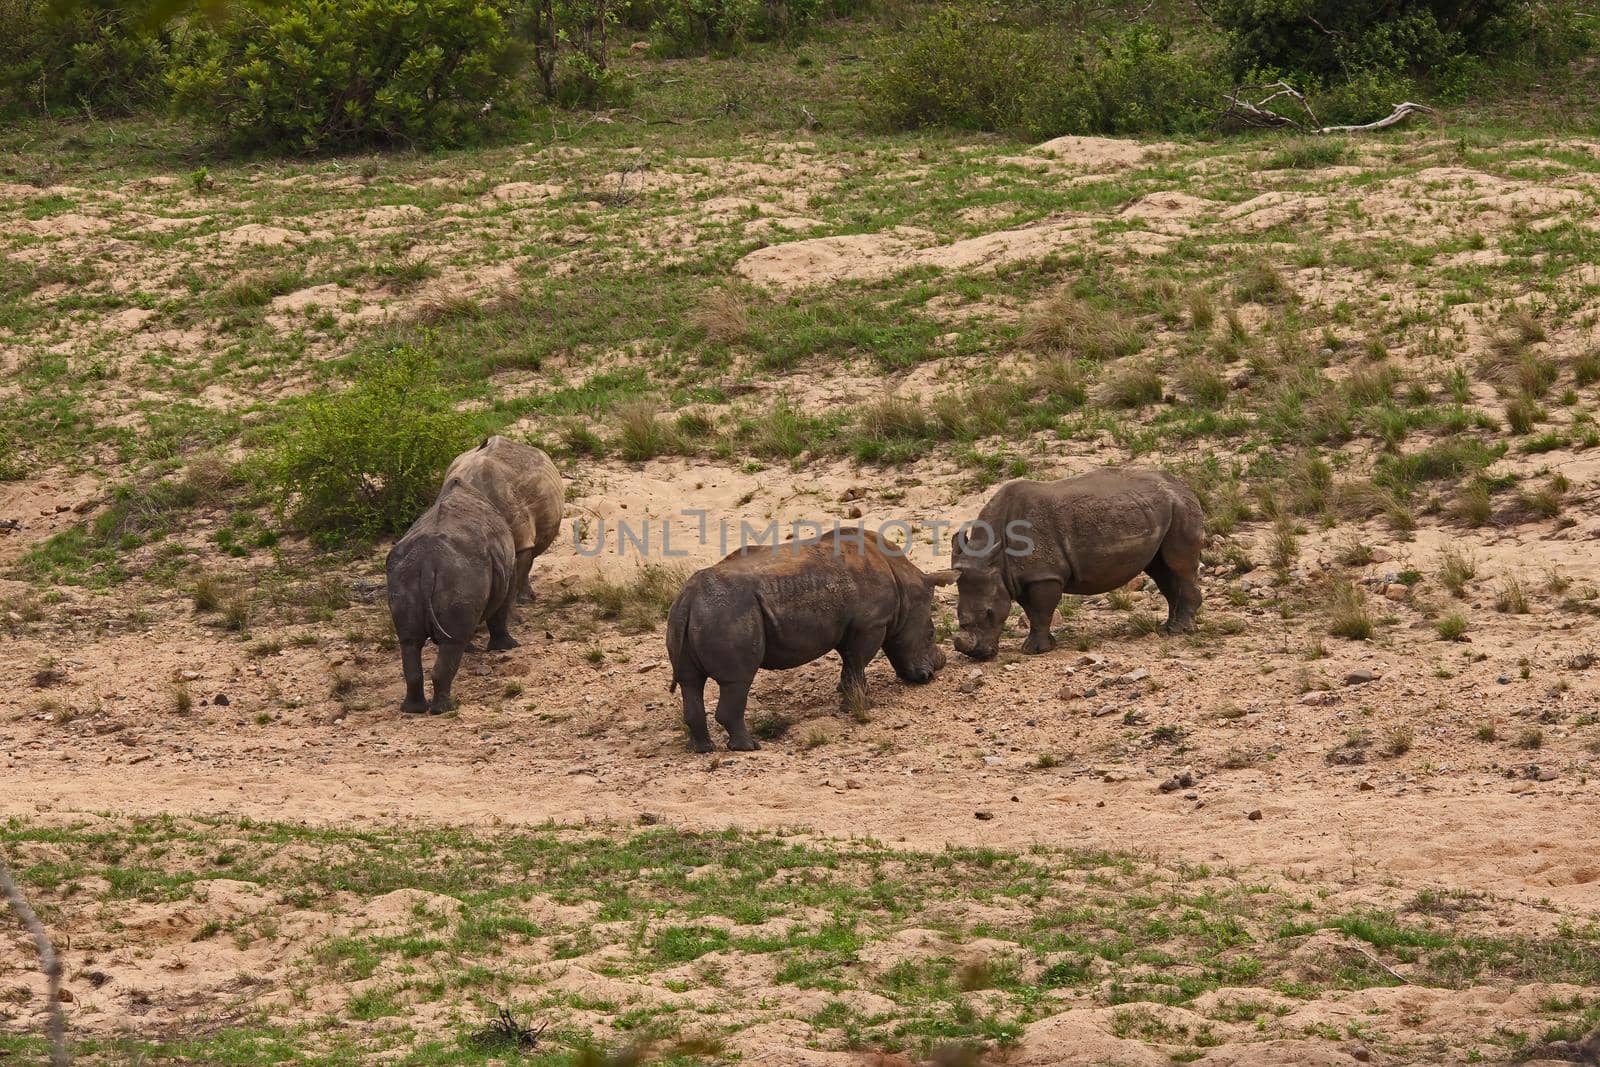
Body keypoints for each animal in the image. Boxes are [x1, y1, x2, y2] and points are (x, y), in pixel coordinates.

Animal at [385, 476, 515, 713]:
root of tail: (428, 561)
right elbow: (500, 610)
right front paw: (507, 647)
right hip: (461, 571)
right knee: (452, 642)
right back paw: (446, 708)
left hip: (403, 573)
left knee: (410, 642)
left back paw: (413, 709)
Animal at [665, 531, 953, 755]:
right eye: (930, 633)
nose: (934, 671)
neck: (903, 581)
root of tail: (689, 599)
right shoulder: (870, 624)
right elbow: (858, 662)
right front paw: (863, 706)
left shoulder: (850, 627)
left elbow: (850, 663)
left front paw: (848, 695)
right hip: (728, 613)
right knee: (738, 680)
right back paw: (749, 747)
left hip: (689, 615)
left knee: (691, 682)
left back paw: (702, 750)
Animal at [947, 467, 1203, 659]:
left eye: (989, 612)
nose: (976, 655)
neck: (994, 556)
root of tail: (1184, 485)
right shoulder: (1021, 576)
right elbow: (1032, 611)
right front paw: (1044, 645)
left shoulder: (1044, 574)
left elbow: (1040, 611)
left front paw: (1034, 651)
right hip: (1159, 509)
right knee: (1162, 571)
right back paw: (1168, 627)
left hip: (1180, 507)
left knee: (1178, 567)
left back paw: (1179, 631)